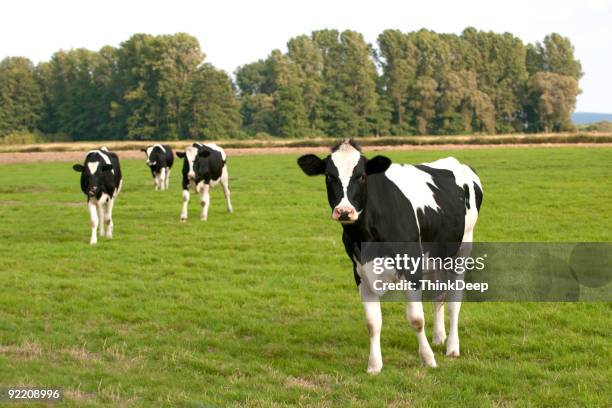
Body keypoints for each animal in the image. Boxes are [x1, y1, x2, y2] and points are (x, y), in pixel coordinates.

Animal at [298, 140, 486, 372]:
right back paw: (439, 337)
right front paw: (374, 365)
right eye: (329, 176)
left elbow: (416, 319)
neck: (368, 235)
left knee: (454, 300)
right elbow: (372, 323)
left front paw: (427, 359)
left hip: (462, 248)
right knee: (438, 296)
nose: (344, 211)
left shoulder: (412, 268)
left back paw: (452, 346)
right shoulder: (360, 273)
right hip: (435, 256)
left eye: (361, 176)